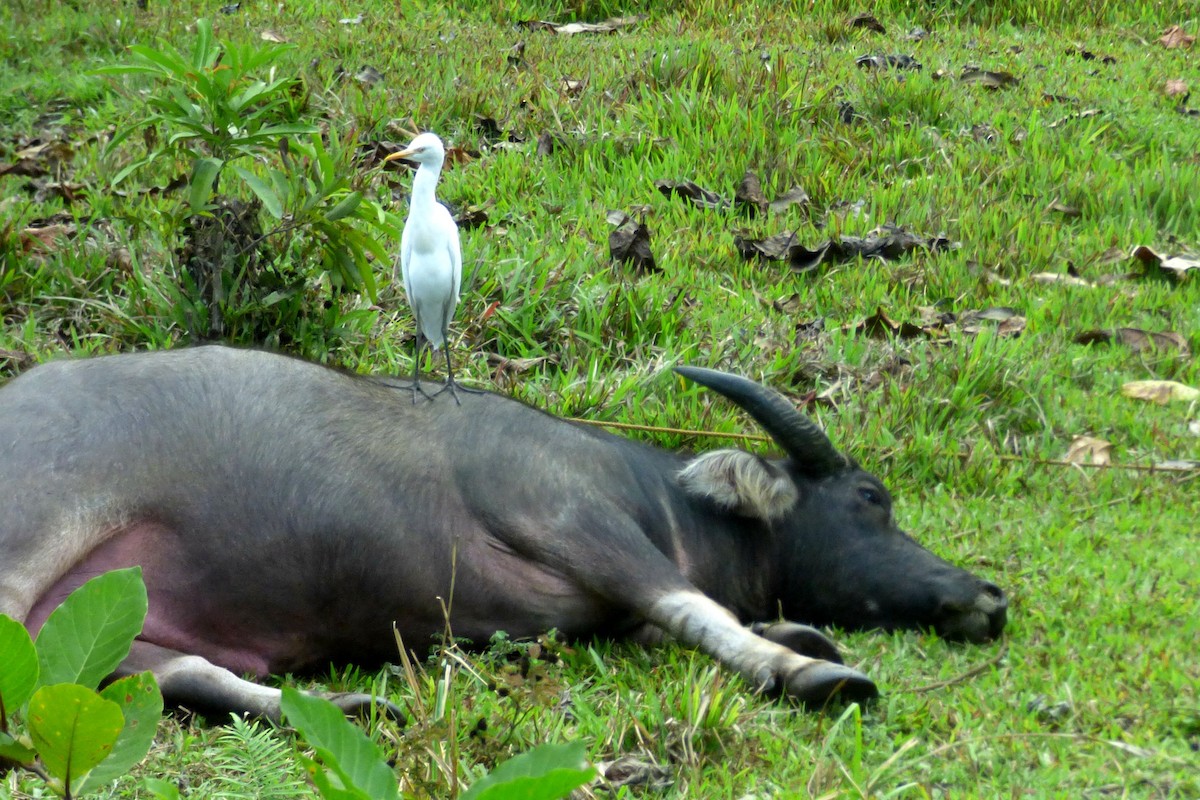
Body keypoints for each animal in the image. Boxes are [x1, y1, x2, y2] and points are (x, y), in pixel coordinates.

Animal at [0, 347, 1008, 724]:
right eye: (871, 497)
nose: (989, 594)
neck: (658, 495)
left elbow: (673, 623)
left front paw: (795, 633)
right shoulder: (575, 522)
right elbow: (691, 610)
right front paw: (807, 668)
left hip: (124, 624)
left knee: (171, 674)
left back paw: (346, 707)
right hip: (34, 540)